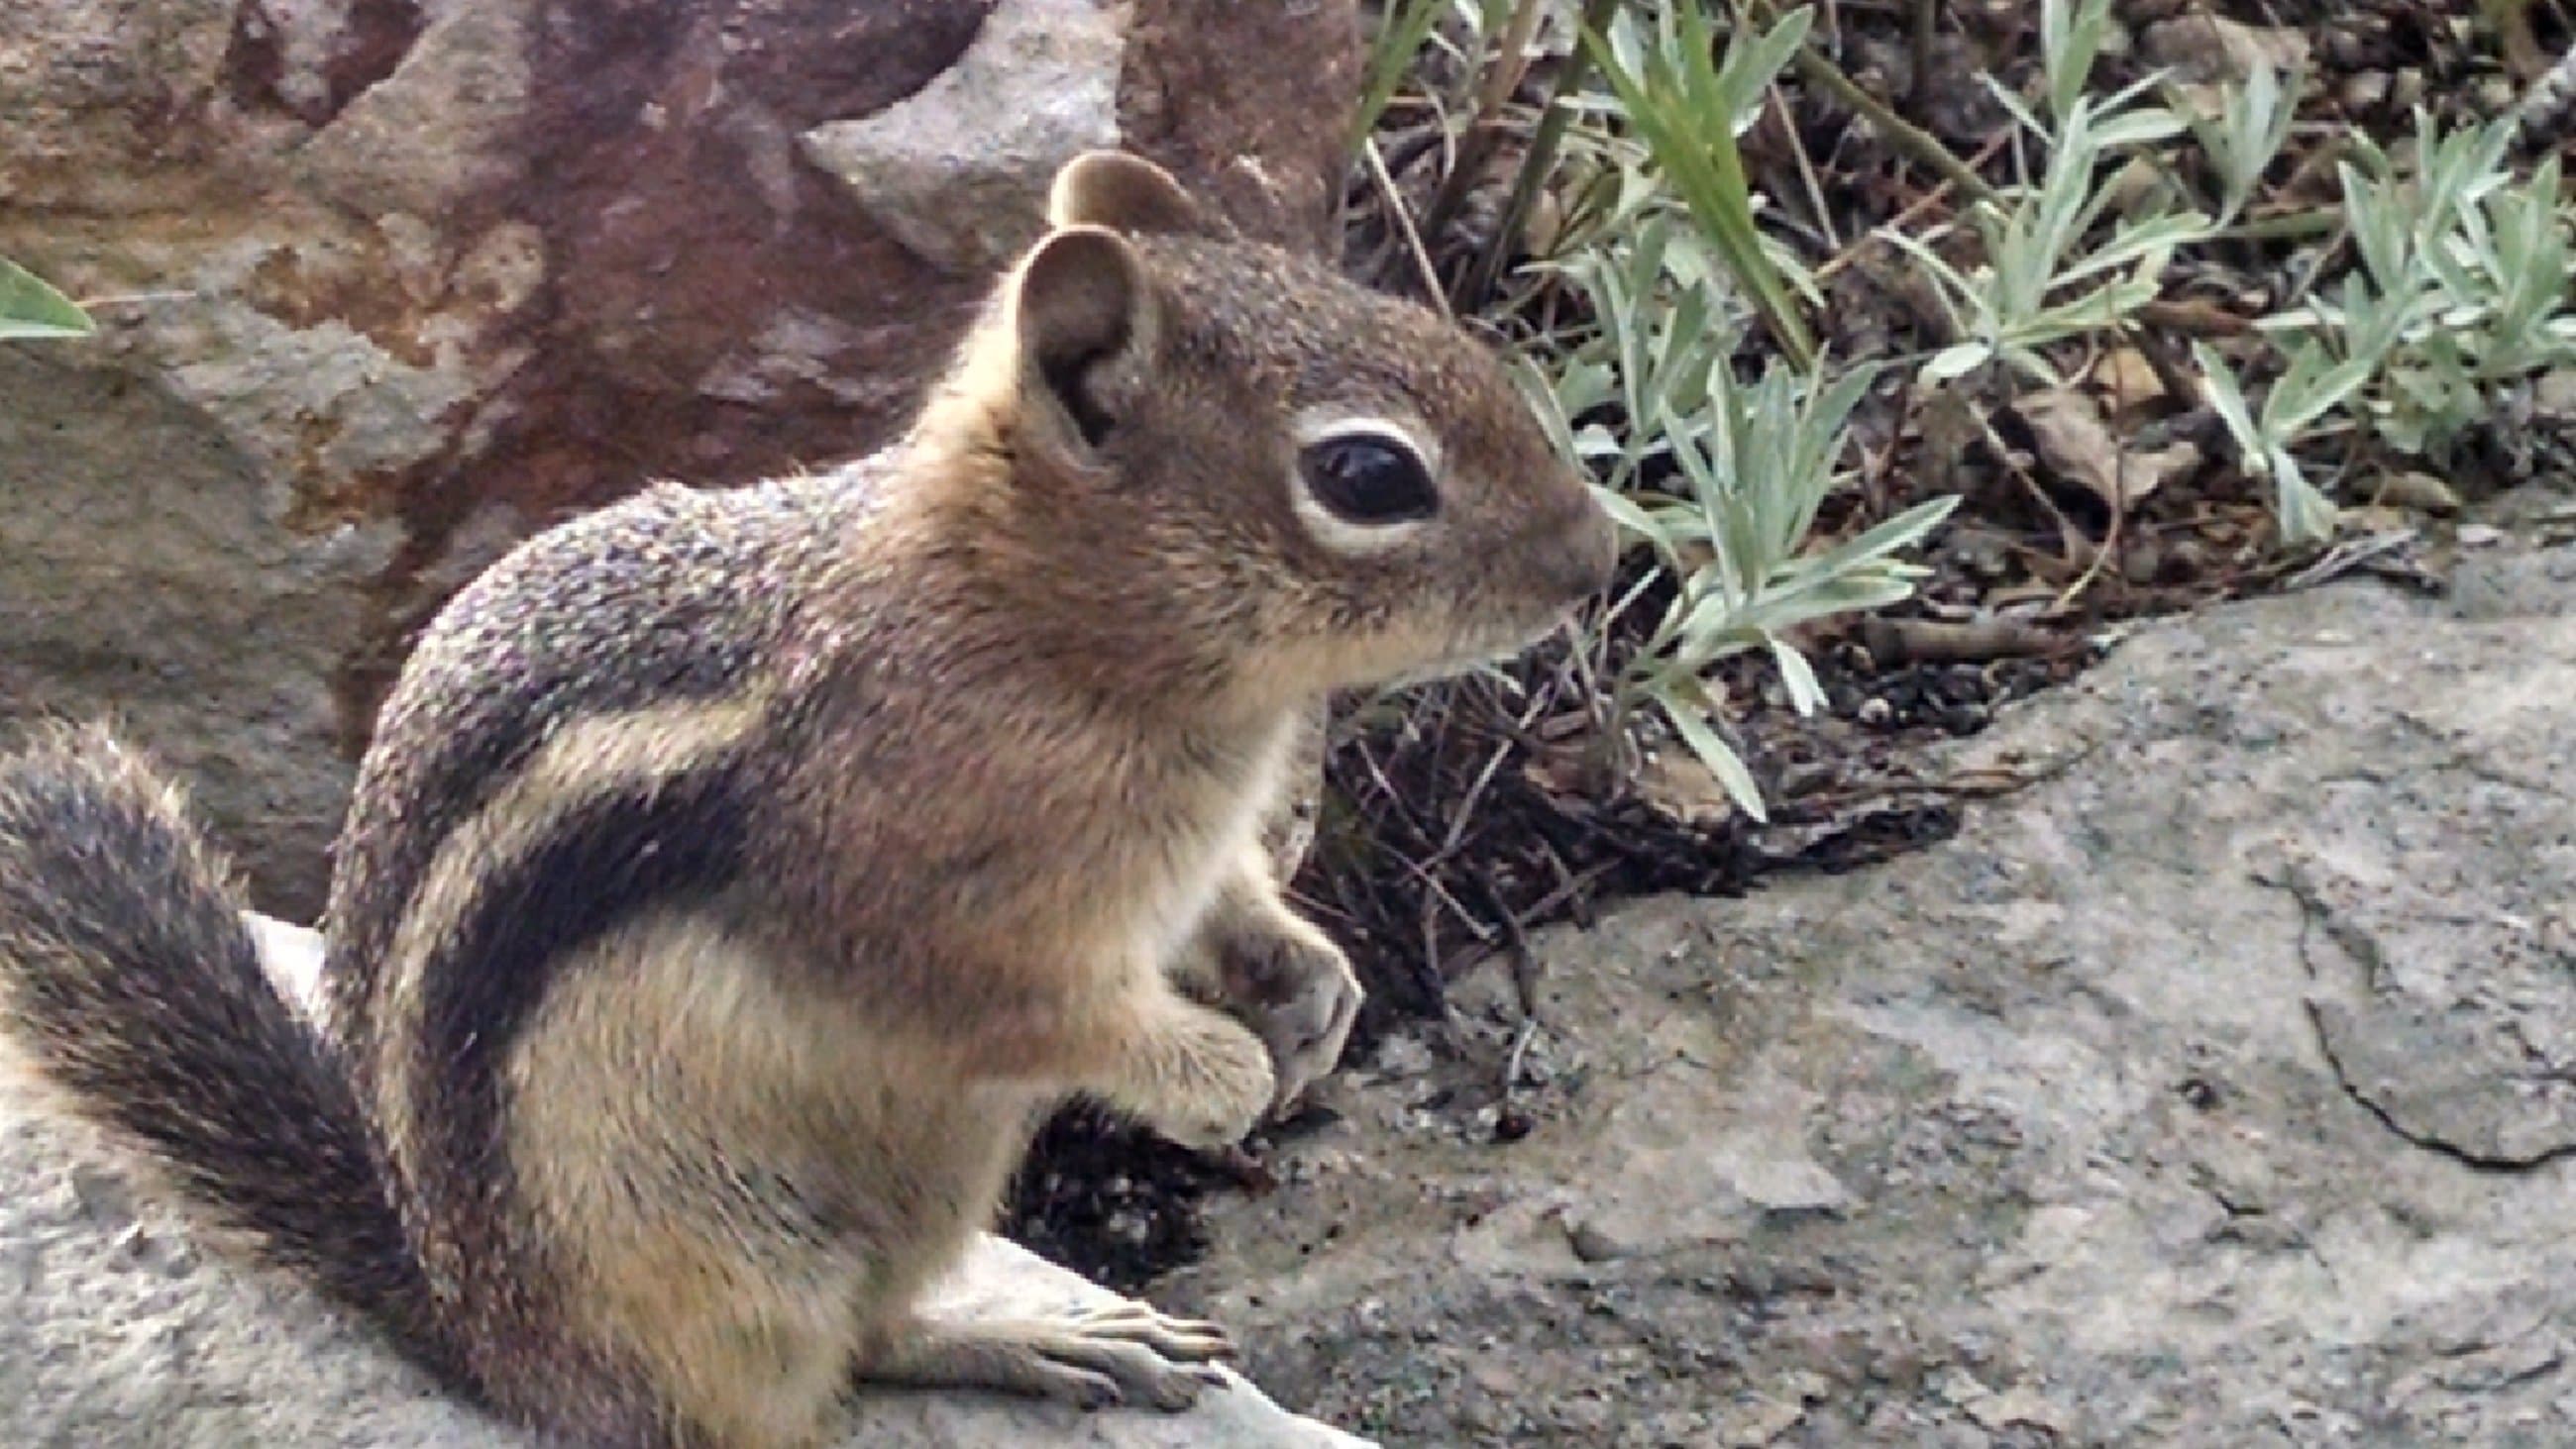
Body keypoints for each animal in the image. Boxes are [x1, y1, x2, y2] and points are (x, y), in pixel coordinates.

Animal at [0, 149, 1616, 1449]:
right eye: (1369, 475)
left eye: (1433, 331)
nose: (1599, 557)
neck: (1040, 623)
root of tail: (480, 1329)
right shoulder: (918, 897)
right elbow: (1029, 1005)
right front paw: (1218, 1073)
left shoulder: (1194, 858)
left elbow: (1235, 906)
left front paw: (1315, 990)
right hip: (731, 1253)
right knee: (758, 1398)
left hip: (931, 1179)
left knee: (880, 1328)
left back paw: (1049, 1336)